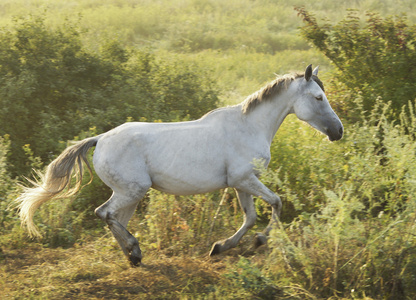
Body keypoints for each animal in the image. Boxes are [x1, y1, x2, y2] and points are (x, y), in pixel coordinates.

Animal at [16, 65, 342, 264]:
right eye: (318, 97)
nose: (337, 132)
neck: (250, 126)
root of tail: (100, 139)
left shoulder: (241, 183)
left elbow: (250, 217)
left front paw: (220, 247)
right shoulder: (245, 180)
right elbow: (276, 203)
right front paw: (259, 241)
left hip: (131, 194)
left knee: (115, 218)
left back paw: (133, 255)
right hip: (133, 190)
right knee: (104, 213)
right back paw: (134, 249)